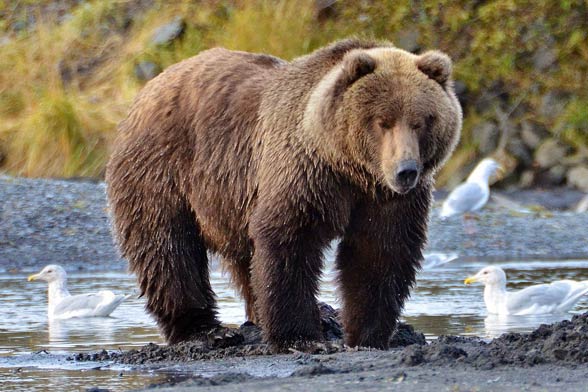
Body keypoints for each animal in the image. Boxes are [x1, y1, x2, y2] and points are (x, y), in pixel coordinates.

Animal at [107, 39, 464, 350]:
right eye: (383, 121)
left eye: (422, 121)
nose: (406, 170)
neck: (348, 167)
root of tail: (149, 87)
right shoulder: (304, 172)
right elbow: (289, 239)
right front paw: (302, 337)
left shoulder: (386, 200)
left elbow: (380, 252)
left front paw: (368, 334)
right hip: (163, 168)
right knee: (167, 247)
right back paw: (205, 330)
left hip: (231, 200)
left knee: (244, 260)